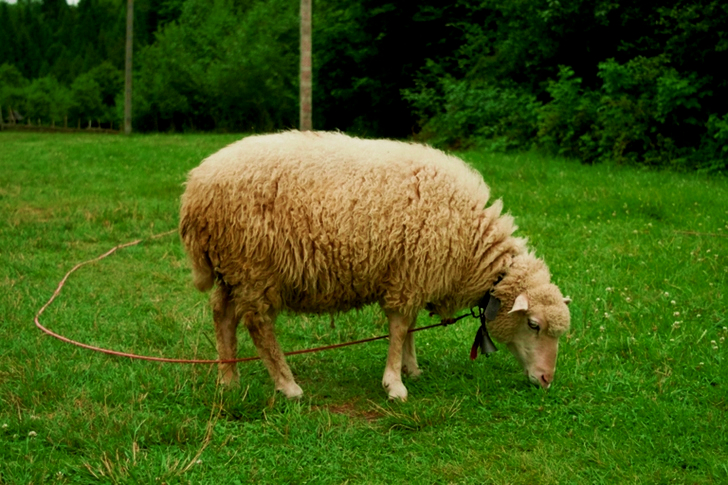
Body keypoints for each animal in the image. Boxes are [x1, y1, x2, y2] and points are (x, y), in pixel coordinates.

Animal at [179, 130, 571, 400]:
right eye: (533, 325)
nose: (547, 380)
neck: (471, 244)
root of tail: (195, 188)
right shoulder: (409, 274)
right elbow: (398, 328)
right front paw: (394, 384)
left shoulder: (413, 274)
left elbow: (409, 326)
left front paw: (411, 368)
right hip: (253, 267)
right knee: (258, 325)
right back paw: (287, 386)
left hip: (234, 269)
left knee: (222, 314)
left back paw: (229, 381)